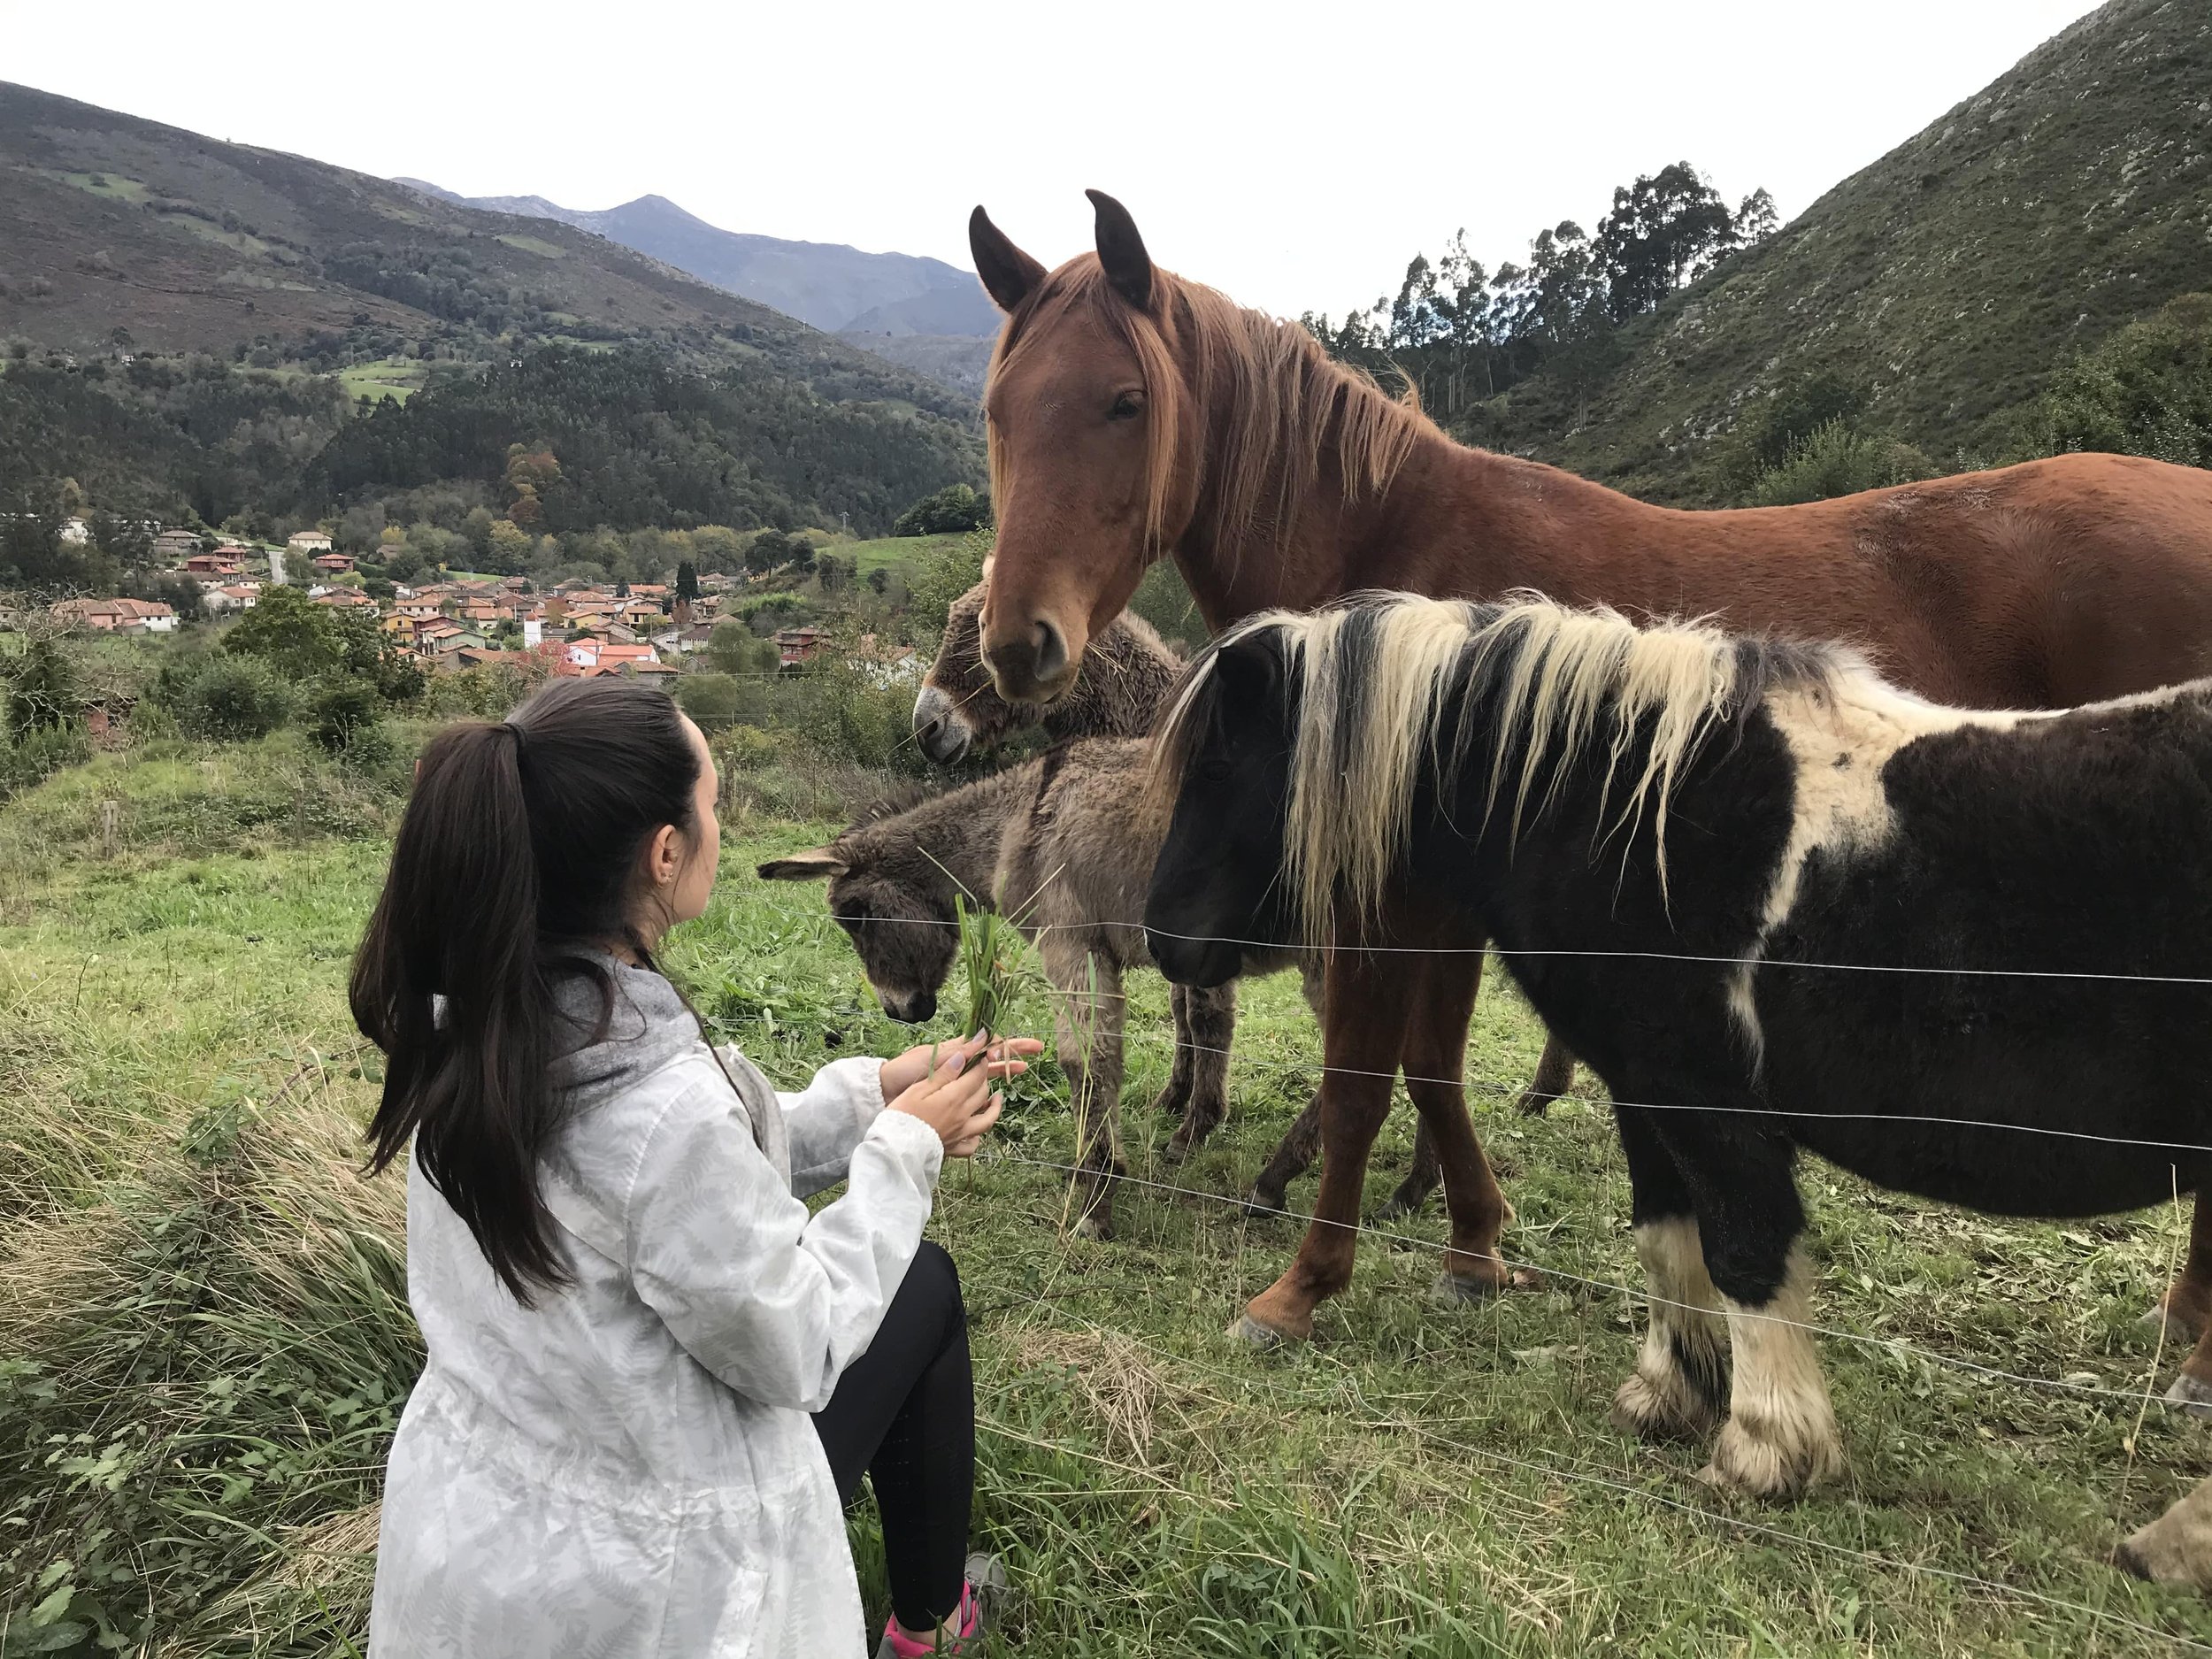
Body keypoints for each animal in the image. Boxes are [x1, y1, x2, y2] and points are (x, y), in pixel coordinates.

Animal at [973, 188, 2212, 1354]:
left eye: (1125, 403)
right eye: (998, 410)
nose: (1016, 640)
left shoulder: (1397, 902)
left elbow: (1364, 1077)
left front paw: (1304, 1286)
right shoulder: (1447, 905)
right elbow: (1429, 1067)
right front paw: (1473, 1243)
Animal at [1150, 593, 2212, 1504]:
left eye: (1220, 766)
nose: (1165, 940)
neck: (1638, 815)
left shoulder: (1709, 1104)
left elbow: (1747, 1251)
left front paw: (1764, 1448)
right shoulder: (1644, 1094)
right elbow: (1669, 1239)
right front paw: (1671, 1393)